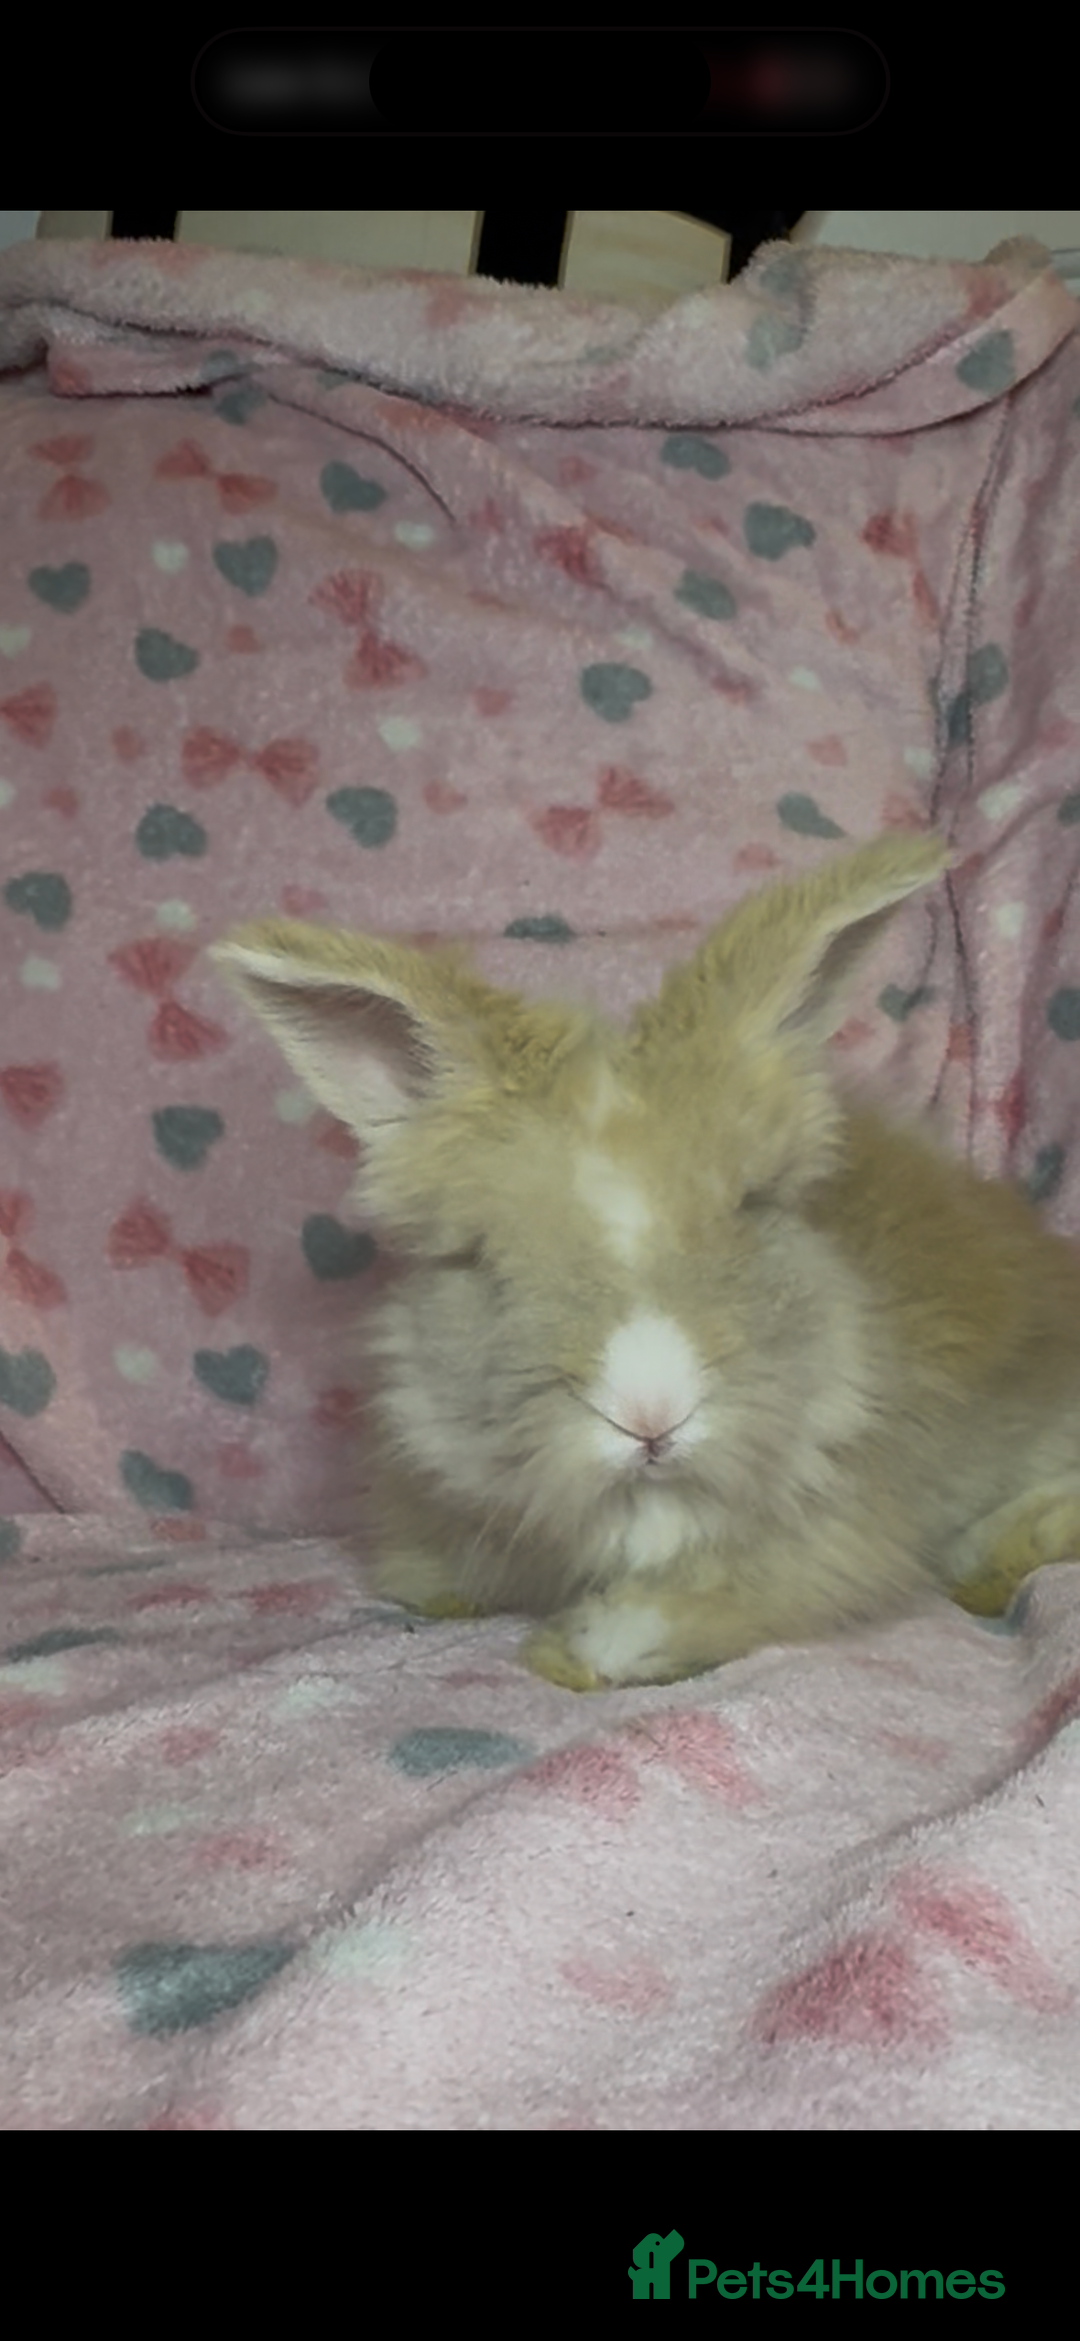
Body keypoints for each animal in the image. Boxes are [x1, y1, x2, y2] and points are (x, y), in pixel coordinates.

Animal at [210, 830, 1080, 1690]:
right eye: (485, 1257)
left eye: (752, 1207)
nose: (651, 1416)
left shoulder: (840, 1535)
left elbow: (701, 1602)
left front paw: (574, 1651)